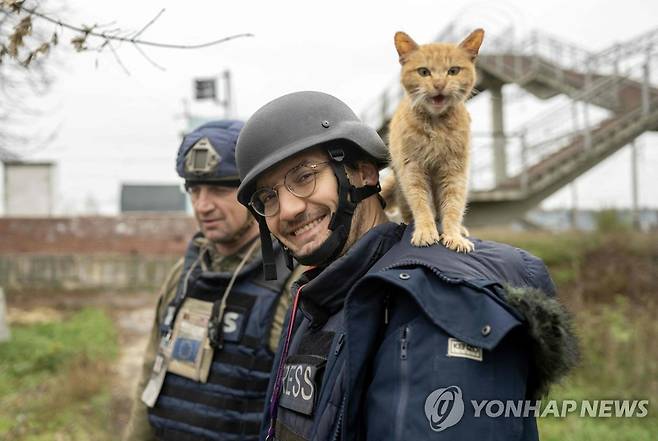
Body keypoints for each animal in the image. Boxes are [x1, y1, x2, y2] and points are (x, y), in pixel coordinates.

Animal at [384, 28, 482, 251]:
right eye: (424, 72)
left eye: (453, 71)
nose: (439, 84)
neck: (437, 126)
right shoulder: (412, 169)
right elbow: (421, 204)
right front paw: (425, 231)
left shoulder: (455, 171)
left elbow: (453, 206)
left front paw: (454, 235)